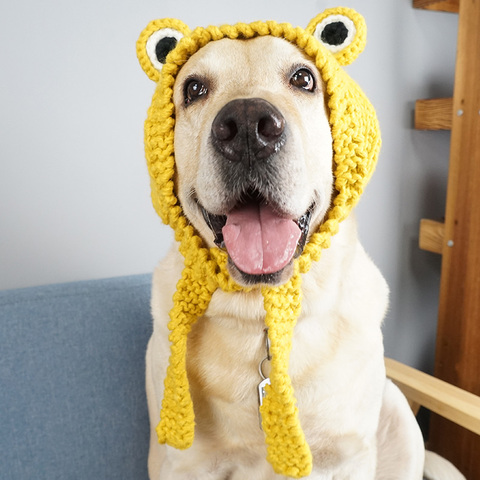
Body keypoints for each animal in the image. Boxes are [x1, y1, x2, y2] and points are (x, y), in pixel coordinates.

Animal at [137, 7, 464, 480]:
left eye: (304, 78)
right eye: (193, 89)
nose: (248, 127)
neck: (260, 316)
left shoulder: (346, 457)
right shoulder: (184, 462)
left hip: (398, 411)